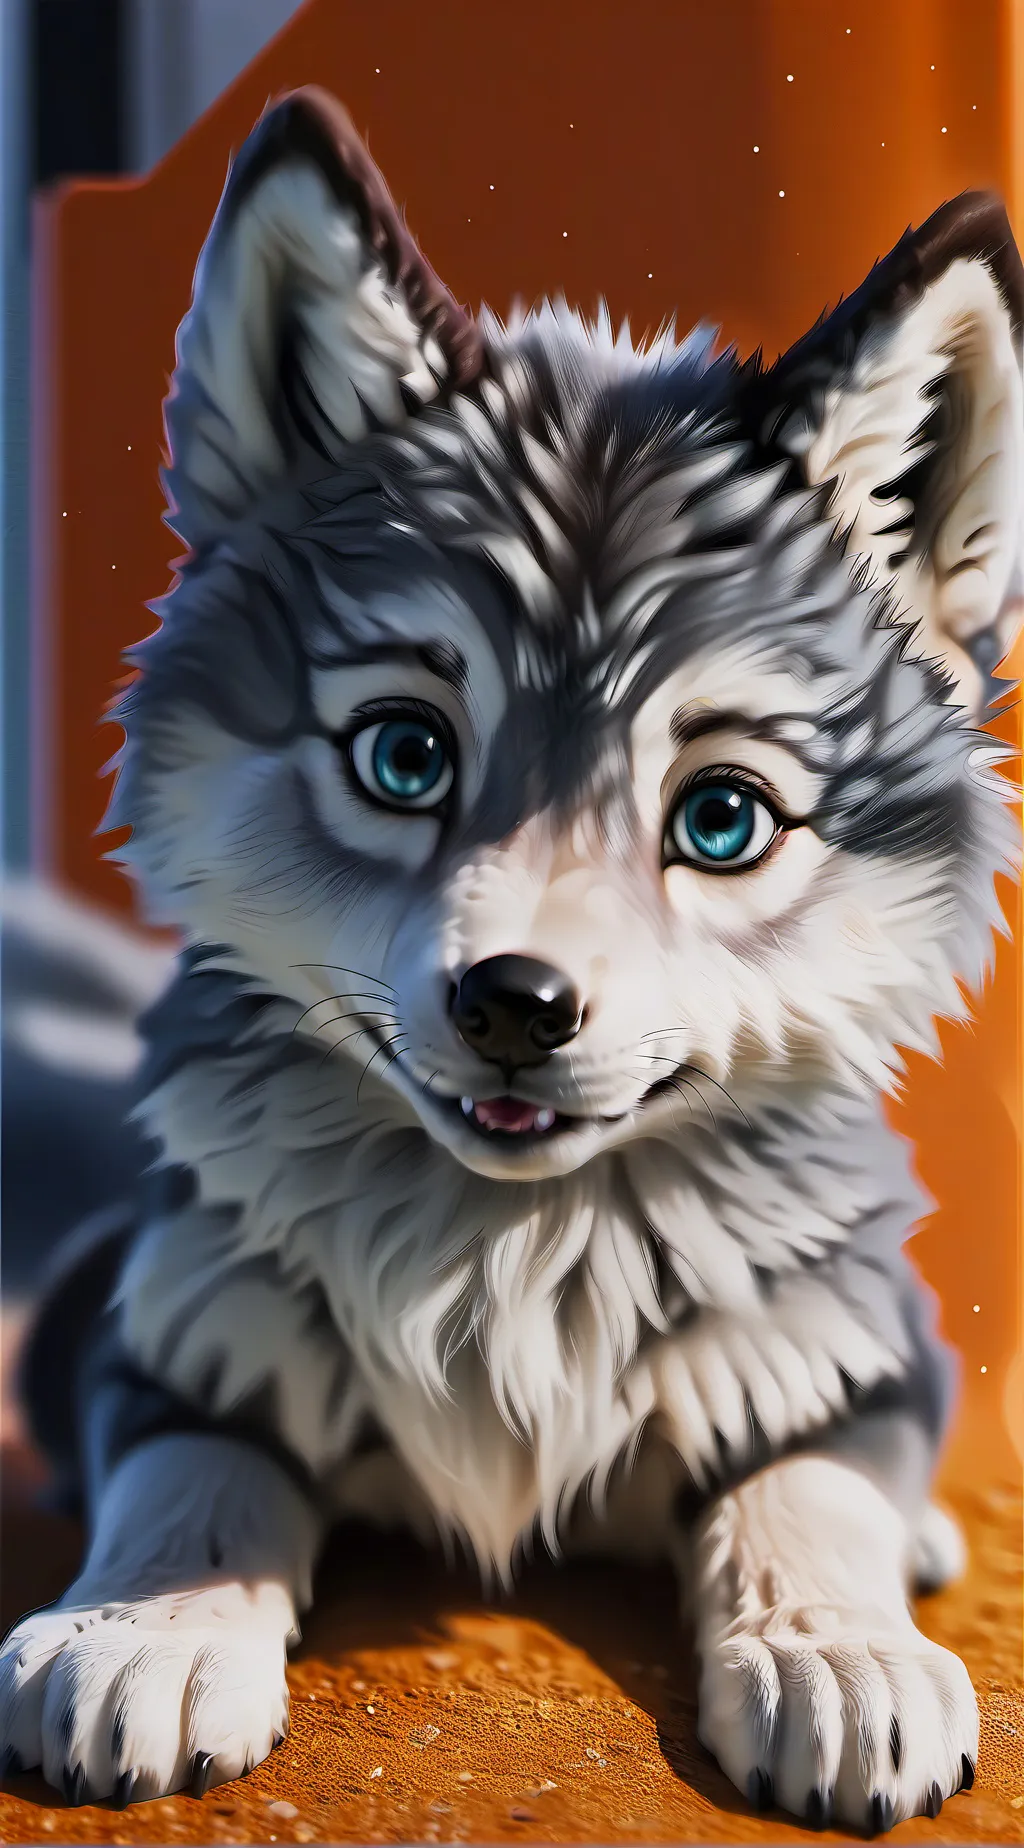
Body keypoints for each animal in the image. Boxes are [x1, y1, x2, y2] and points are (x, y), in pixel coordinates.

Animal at [2, 86, 1021, 1829]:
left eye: (723, 819)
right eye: (406, 755)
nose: (514, 1004)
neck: (512, 1261)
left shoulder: (837, 1346)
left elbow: (813, 1478)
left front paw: (831, 1649)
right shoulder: (156, 1311)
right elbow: (194, 1463)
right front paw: (149, 1624)